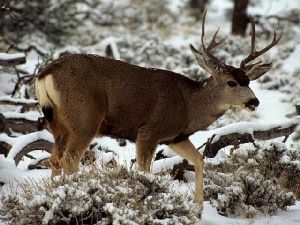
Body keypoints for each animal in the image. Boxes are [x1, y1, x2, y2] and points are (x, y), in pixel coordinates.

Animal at [35, 11, 282, 210]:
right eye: (232, 82)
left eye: (248, 80)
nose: (254, 101)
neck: (188, 104)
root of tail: (47, 72)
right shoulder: (149, 131)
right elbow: (145, 171)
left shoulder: (175, 137)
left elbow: (199, 160)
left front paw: (198, 206)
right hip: (86, 119)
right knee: (69, 160)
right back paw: (76, 195)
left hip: (59, 124)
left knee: (54, 159)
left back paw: (54, 195)